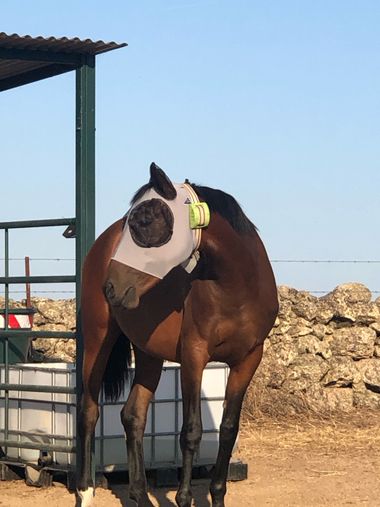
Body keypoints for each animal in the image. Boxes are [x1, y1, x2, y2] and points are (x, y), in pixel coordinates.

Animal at [75, 164, 278, 507]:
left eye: (144, 221)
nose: (110, 287)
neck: (236, 288)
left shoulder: (248, 360)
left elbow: (228, 429)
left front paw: (217, 496)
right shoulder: (194, 357)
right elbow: (191, 431)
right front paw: (184, 499)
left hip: (149, 353)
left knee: (133, 416)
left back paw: (140, 495)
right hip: (97, 338)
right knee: (89, 411)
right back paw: (85, 491)